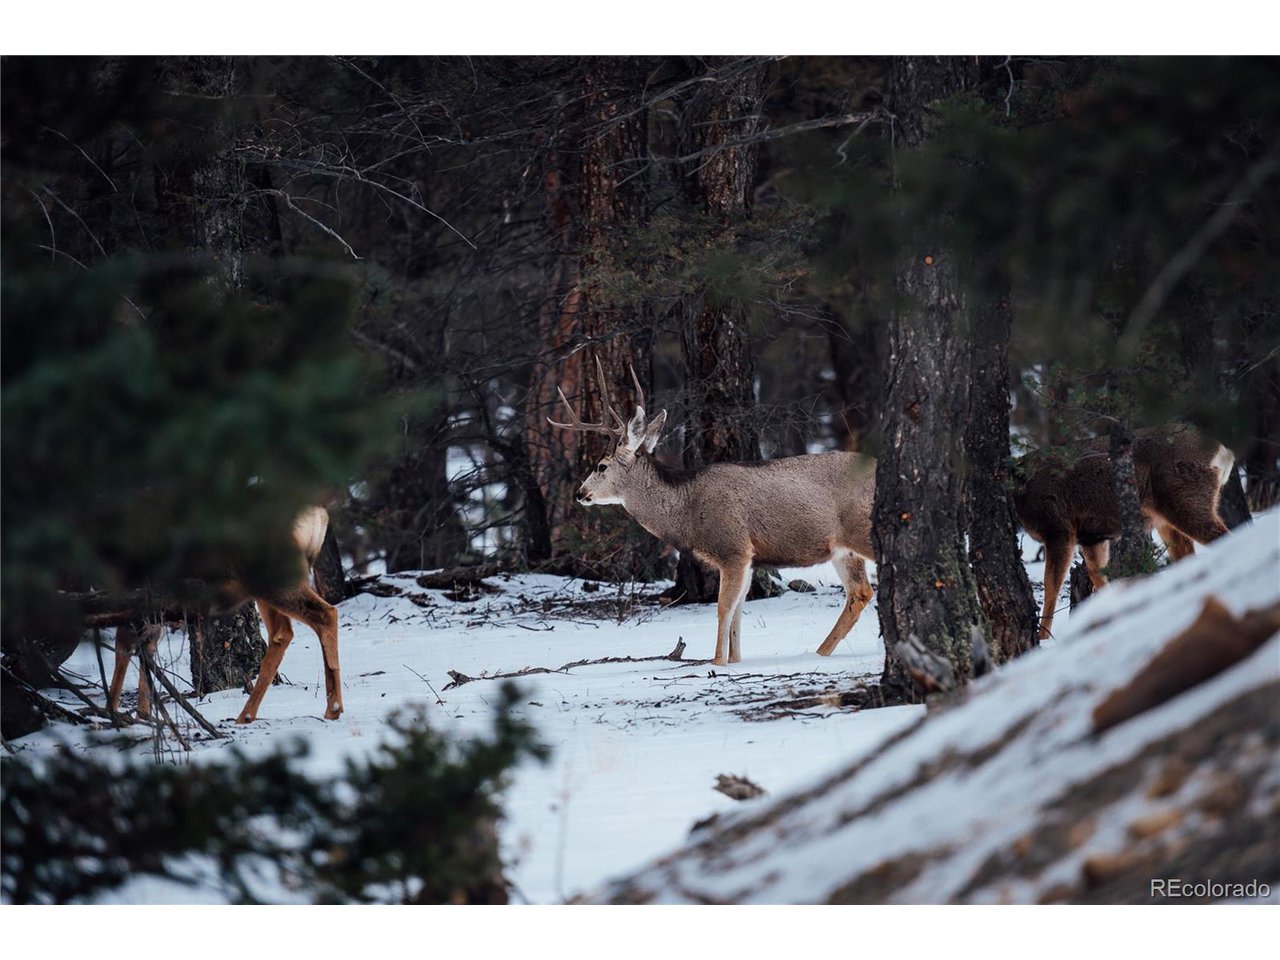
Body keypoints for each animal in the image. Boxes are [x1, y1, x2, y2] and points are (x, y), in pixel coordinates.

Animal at [107, 505, 342, 724]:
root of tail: (317, 512)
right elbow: (145, 658)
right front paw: (143, 717)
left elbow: (122, 653)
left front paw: (114, 715)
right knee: (283, 632)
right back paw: (248, 715)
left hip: (275, 572)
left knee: (325, 614)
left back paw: (333, 708)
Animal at [549, 358, 877, 666]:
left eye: (601, 466)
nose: (580, 493)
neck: (688, 511)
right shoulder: (748, 557)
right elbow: (739, 611)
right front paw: (736, 659)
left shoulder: (732, 547)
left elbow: (723, 608)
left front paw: (717, 661)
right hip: (842, 549)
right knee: (860, 593)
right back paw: (820, 653)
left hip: (862, 531)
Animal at [1014, 424, 1235, 640]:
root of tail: (1223, 450)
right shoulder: (1091, 536)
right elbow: (1097, 575)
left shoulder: (1058, 528)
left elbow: (1051, 585)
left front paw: (1043, 638)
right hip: (1165, 519)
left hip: (1186, 498)